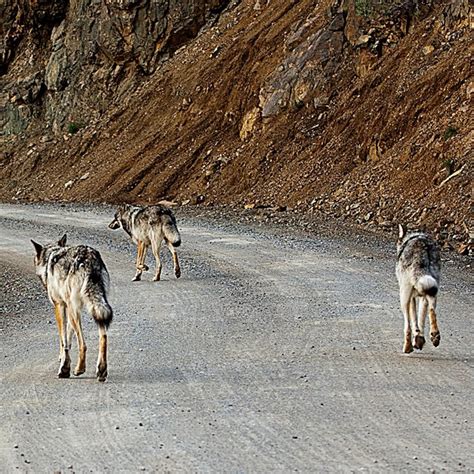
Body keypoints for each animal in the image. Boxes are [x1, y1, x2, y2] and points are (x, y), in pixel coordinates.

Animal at [31, 235, 113, 384]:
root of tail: (88, 256)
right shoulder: (69, 308)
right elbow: (68, 340)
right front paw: (64, 362)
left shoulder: (60, 306)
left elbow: (63, 340)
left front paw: (64, 368)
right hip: (95, 308)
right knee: (103, 335)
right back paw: (101, 371)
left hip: (76, 310)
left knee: (83, 344)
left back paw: (79, 369)